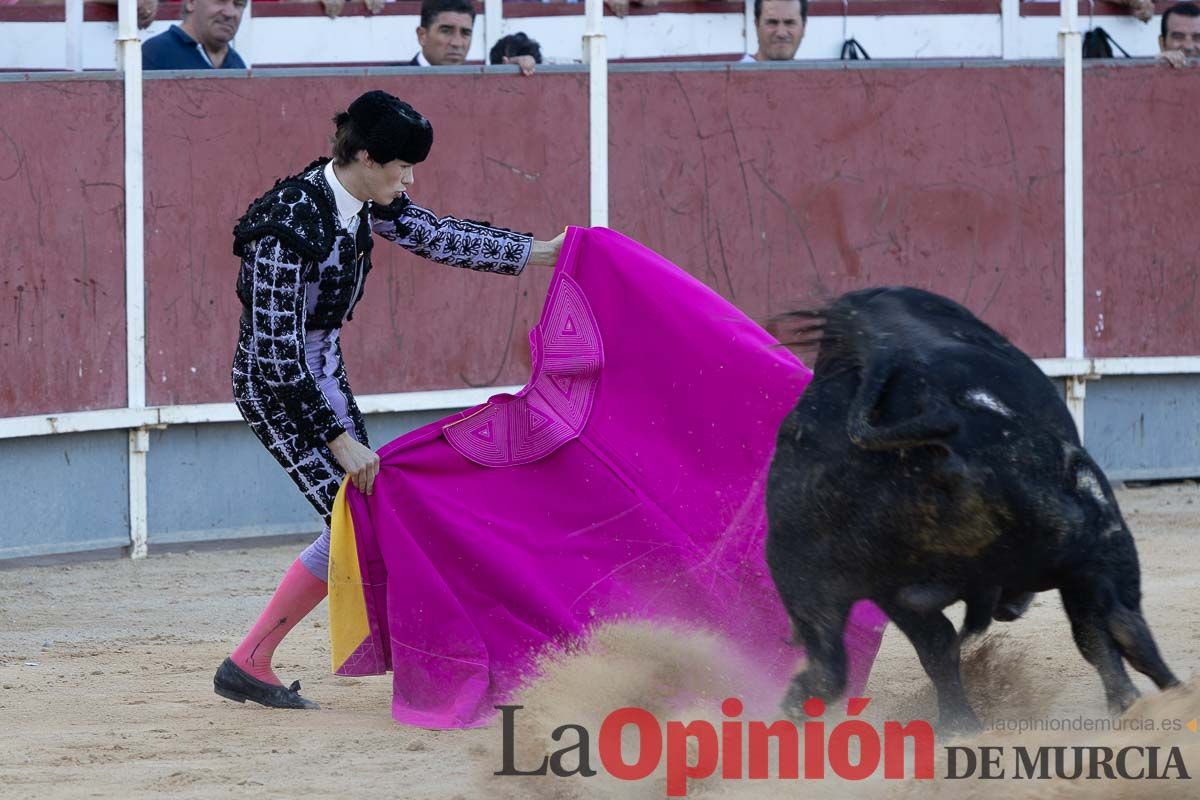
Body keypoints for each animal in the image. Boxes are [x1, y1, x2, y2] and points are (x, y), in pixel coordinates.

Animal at [763, 286, 1176, 734]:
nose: (1011, 607)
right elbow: (1105, 632)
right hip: (1098, 542)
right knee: (1125, 626)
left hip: (826, 576)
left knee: (841, 666)